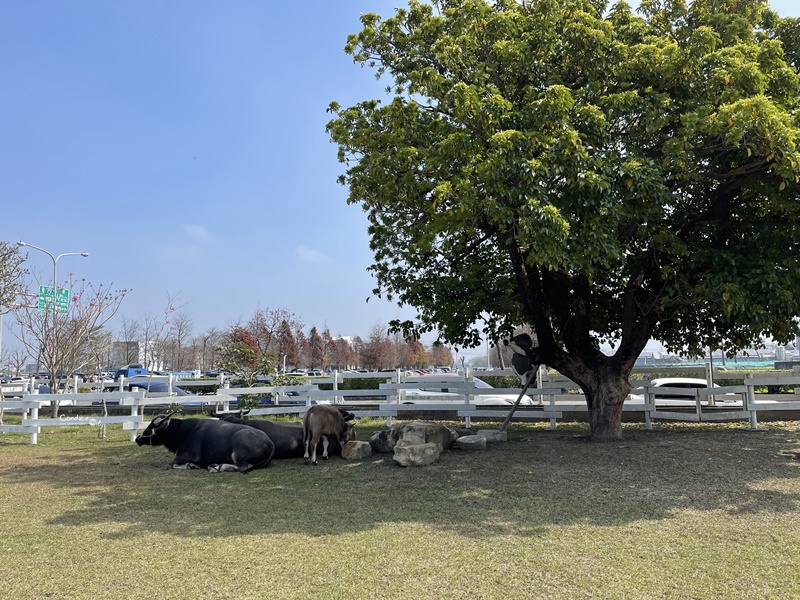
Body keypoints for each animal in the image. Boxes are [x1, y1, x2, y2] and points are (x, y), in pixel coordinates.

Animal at [136, 412, 276, 474]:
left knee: (243, 467)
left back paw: (217, 467)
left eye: (150, 426)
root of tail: (270, 443)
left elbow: (172, 464)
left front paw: (191, 466)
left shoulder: (189, 455)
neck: (181, 431)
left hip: (238, 454)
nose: (138, 438)